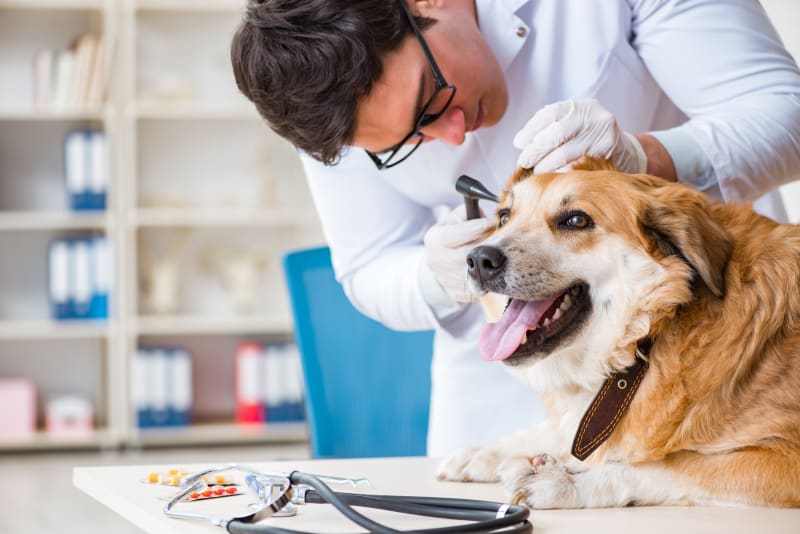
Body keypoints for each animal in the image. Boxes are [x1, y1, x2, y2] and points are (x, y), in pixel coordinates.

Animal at [438, 160, 800, 510]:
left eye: (576, 220)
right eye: (504, 217)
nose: (479, 259)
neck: (644, 339)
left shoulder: (784, 459)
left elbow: (667, 466)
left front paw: (566, 482)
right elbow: (558, 429)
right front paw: (486, 451)